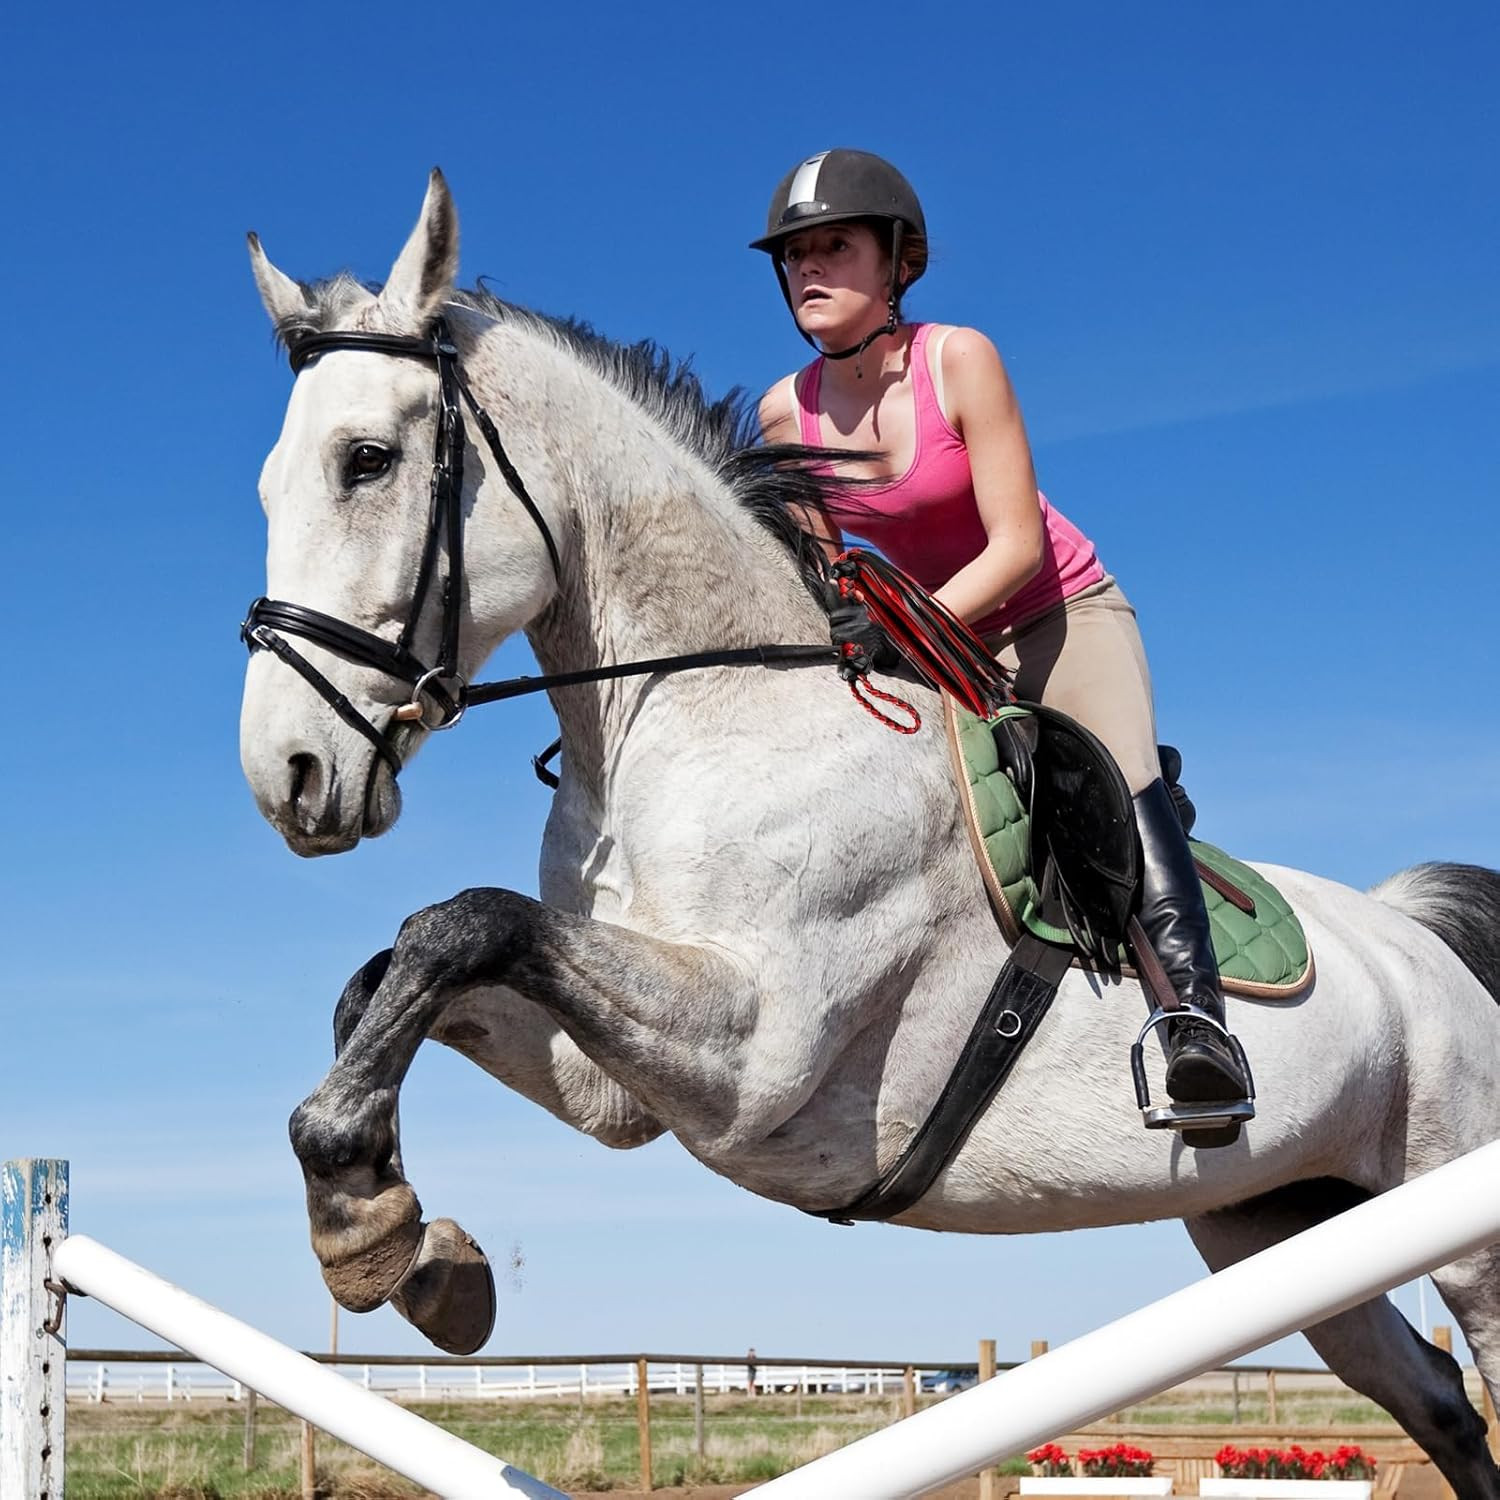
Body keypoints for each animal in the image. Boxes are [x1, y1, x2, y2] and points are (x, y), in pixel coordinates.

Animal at [239, 171, 1500, 1496]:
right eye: (270, 486)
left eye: (367, 461)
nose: (289, 775)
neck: (710, 711)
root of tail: (1415, 938)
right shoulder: (611, 1083)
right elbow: (404, 964)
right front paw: (401, 1237)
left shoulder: (750, 1054)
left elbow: (462, 922)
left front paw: (362, 1205)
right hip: (1278, 1221)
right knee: (1435, 1399)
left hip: (1456, 1214)